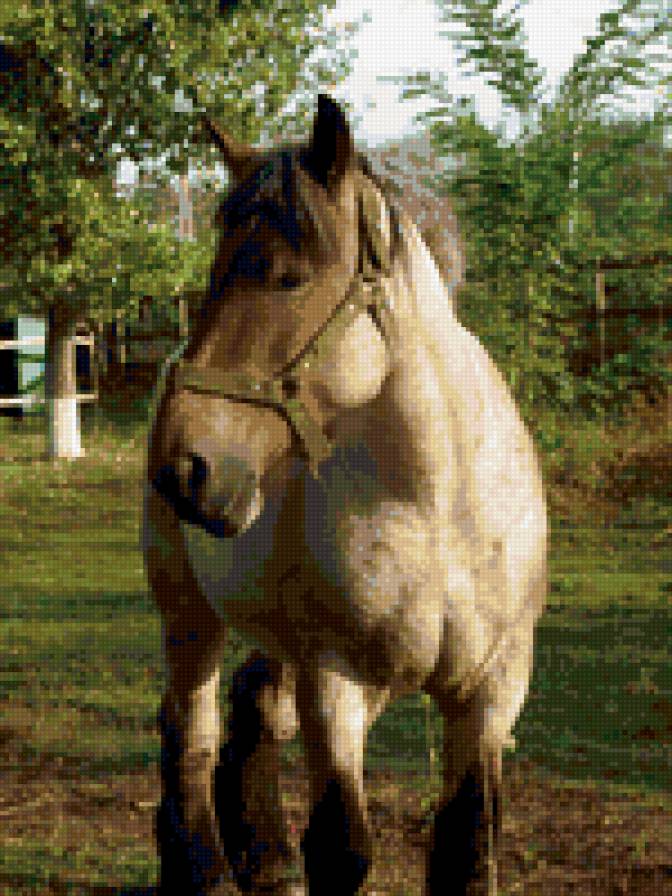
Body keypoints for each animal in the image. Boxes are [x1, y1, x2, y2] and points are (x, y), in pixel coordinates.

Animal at [143, 94, 547, 896]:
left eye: (287, 277)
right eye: (213, 272)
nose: (184, 469)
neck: (438, 505)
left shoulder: (491, 692)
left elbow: (466, 848)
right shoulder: (337, 683)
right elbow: (342, 848)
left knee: (253, 707)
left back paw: (266, 858)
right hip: (189, 616)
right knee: (190, 728)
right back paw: (201, 867)